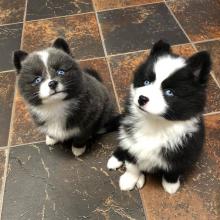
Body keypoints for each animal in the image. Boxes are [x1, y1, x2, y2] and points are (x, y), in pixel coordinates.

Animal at [107, 40, 211, 194]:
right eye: (146, 82)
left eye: (169, 92)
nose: (142, 99)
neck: (154, 123)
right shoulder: (132, 139)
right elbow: (132, 163)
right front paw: (129, 179)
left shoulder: (185, 149)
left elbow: (174, 168)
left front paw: (171, 185)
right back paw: (115, 159)